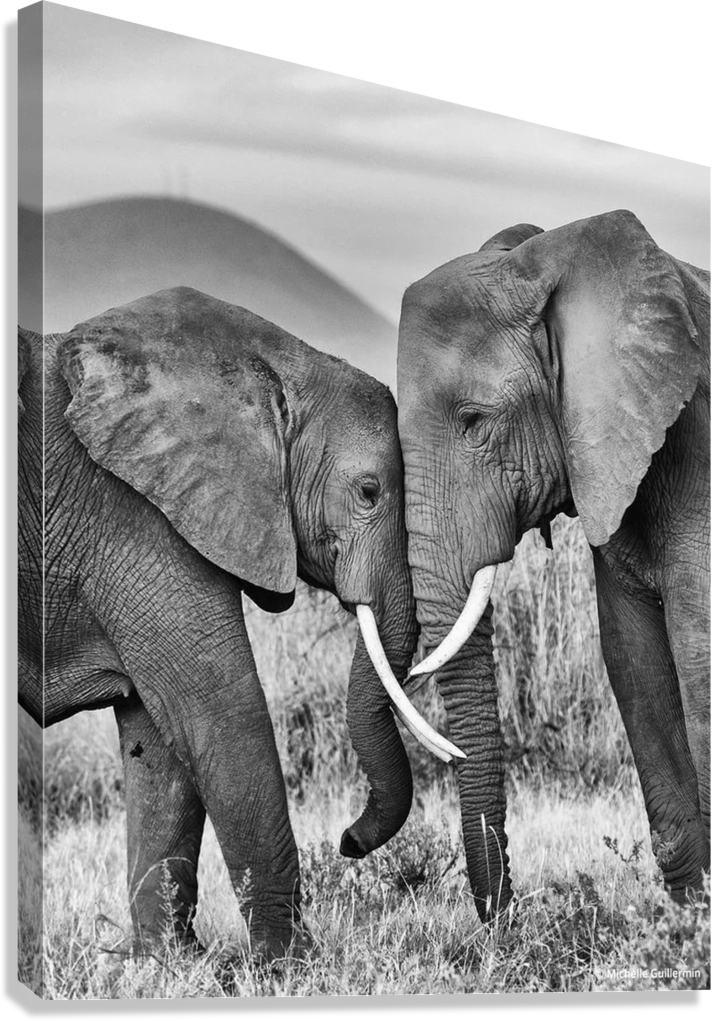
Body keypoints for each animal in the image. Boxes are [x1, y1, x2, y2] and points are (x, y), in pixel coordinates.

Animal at [18, 286, 459, 961]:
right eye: (368, 492)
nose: (348, 842)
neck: (274, 364)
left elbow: (158, 741)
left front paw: (168, 964)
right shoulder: (137, 516)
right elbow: (219, 713)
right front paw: (286, 963)